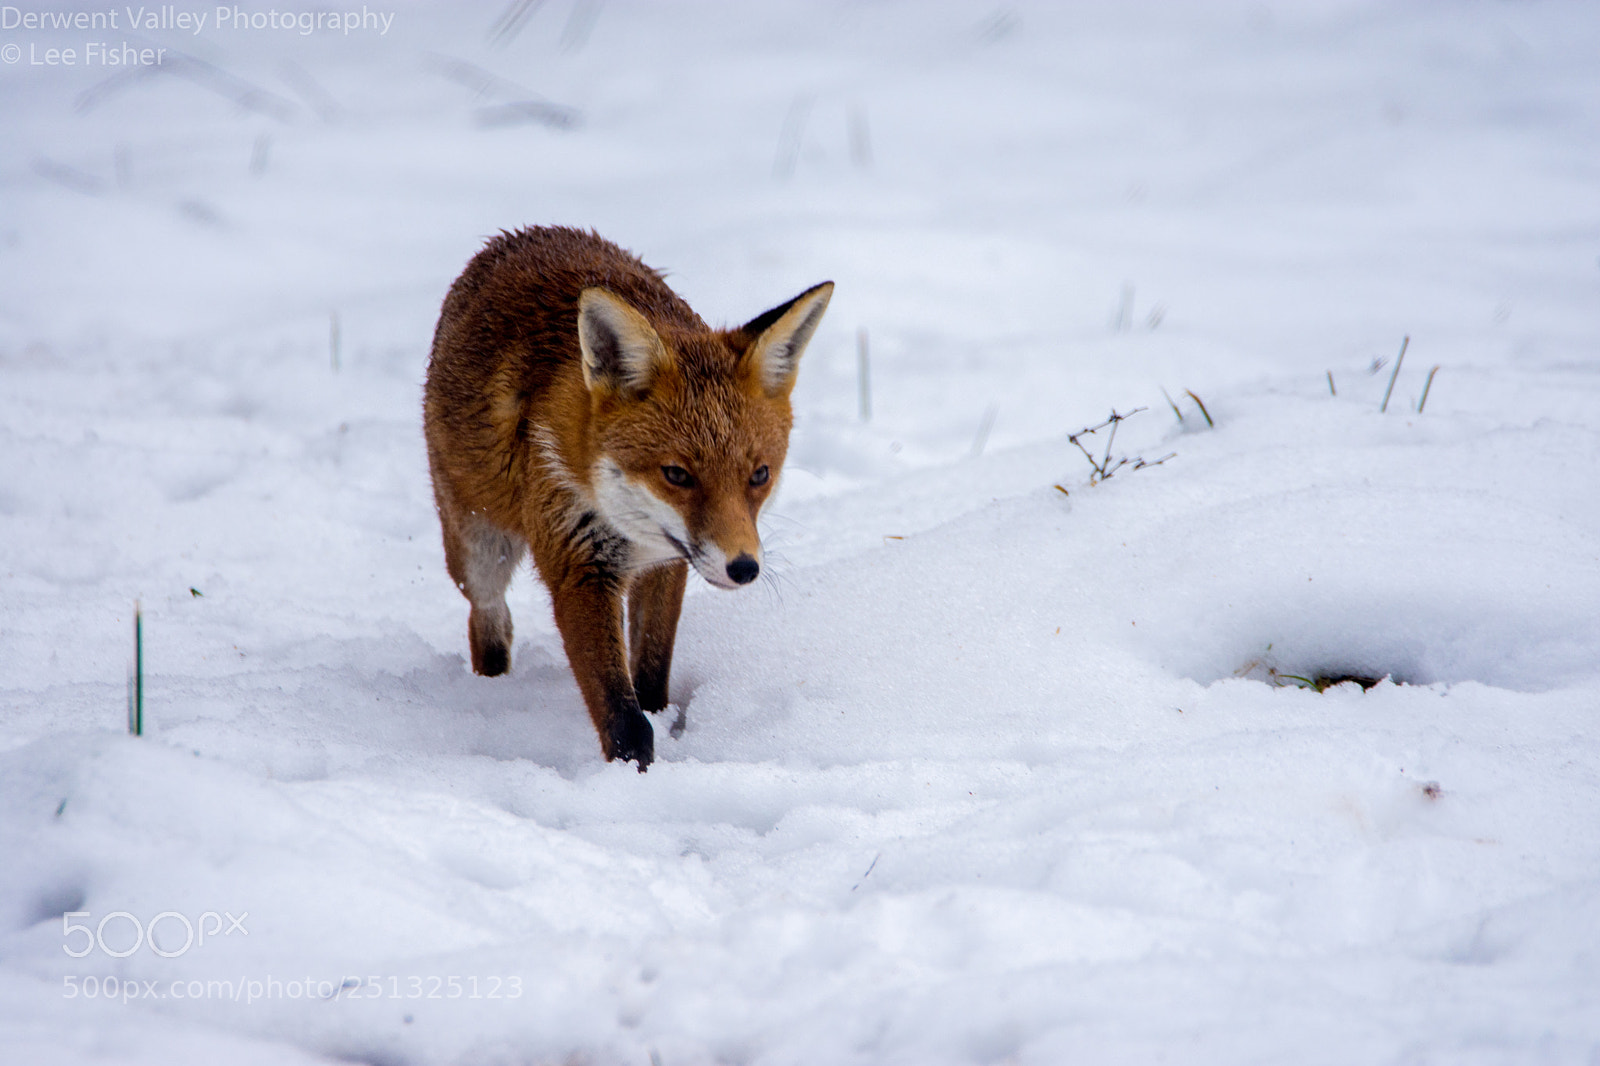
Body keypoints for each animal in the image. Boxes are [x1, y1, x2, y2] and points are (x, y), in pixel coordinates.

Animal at [423, 226, 833, 770]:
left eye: (760, 475)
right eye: (676, 474)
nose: (744, 568)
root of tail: (525, 234)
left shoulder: (668, 562)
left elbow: (651, 676)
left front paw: (661, 724)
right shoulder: (579, 564)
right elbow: (623, 714)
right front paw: (634, 771)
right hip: (479, 551)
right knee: (488, 616)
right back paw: (491, 689)